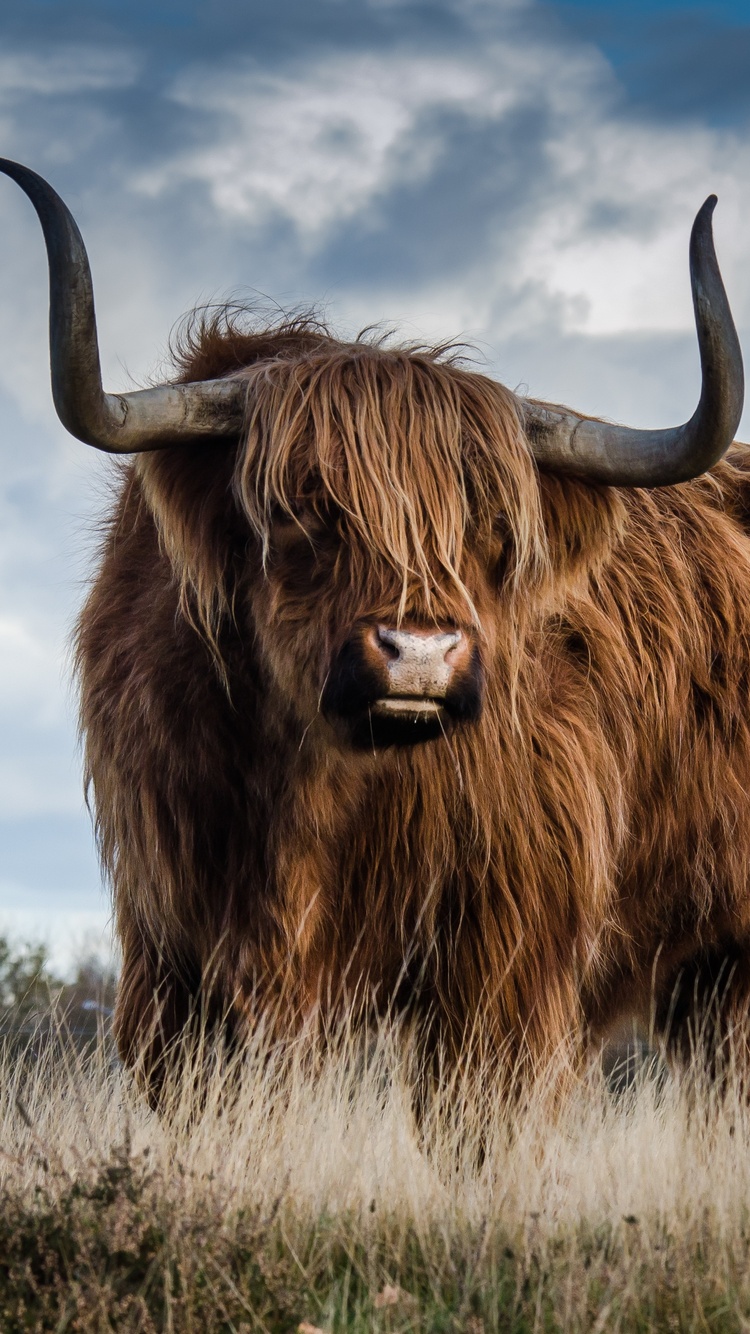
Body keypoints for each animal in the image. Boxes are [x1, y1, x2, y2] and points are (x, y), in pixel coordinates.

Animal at [2, 158, 749, 1099]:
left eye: (492, 527)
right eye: (302, 509)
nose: (419, 655)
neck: (309, 791)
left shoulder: (503, 967)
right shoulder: (173, 955)